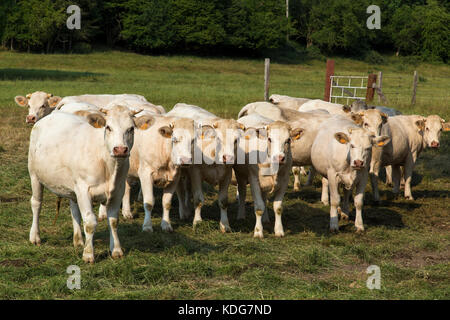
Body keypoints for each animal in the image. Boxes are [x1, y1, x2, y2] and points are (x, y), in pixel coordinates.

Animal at [28, 106, 143, 264]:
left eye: (131, 128)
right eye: (108, 127)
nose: (120, 149)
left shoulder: (118, 190)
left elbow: (113, 221)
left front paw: (116, 250)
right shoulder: (84, 190)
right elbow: (89, 222)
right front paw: (88, 254)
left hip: (72, 186)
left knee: (74, 209)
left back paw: (78, 240)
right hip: (34, 175)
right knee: (36, 203)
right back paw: (35, 236)